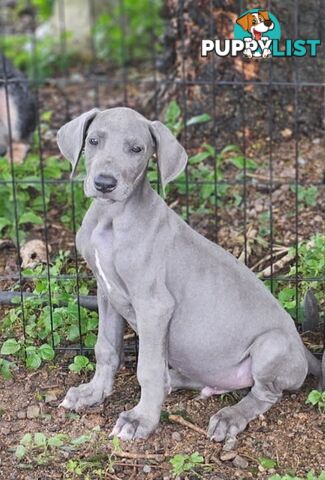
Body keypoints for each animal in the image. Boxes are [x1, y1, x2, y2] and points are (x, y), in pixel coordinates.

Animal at [57, 108, 322, 442]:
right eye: (93, 140)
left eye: (137, 149)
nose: (104, 183)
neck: (111, 219)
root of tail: (304, 350)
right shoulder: (105, 292)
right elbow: (105, 347)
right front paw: (93, 392)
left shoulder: (154, 305)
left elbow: (147, 369)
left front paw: (141, 419)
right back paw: (175, 380)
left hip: (272, 345)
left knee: (264, 394)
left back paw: (230, 416)